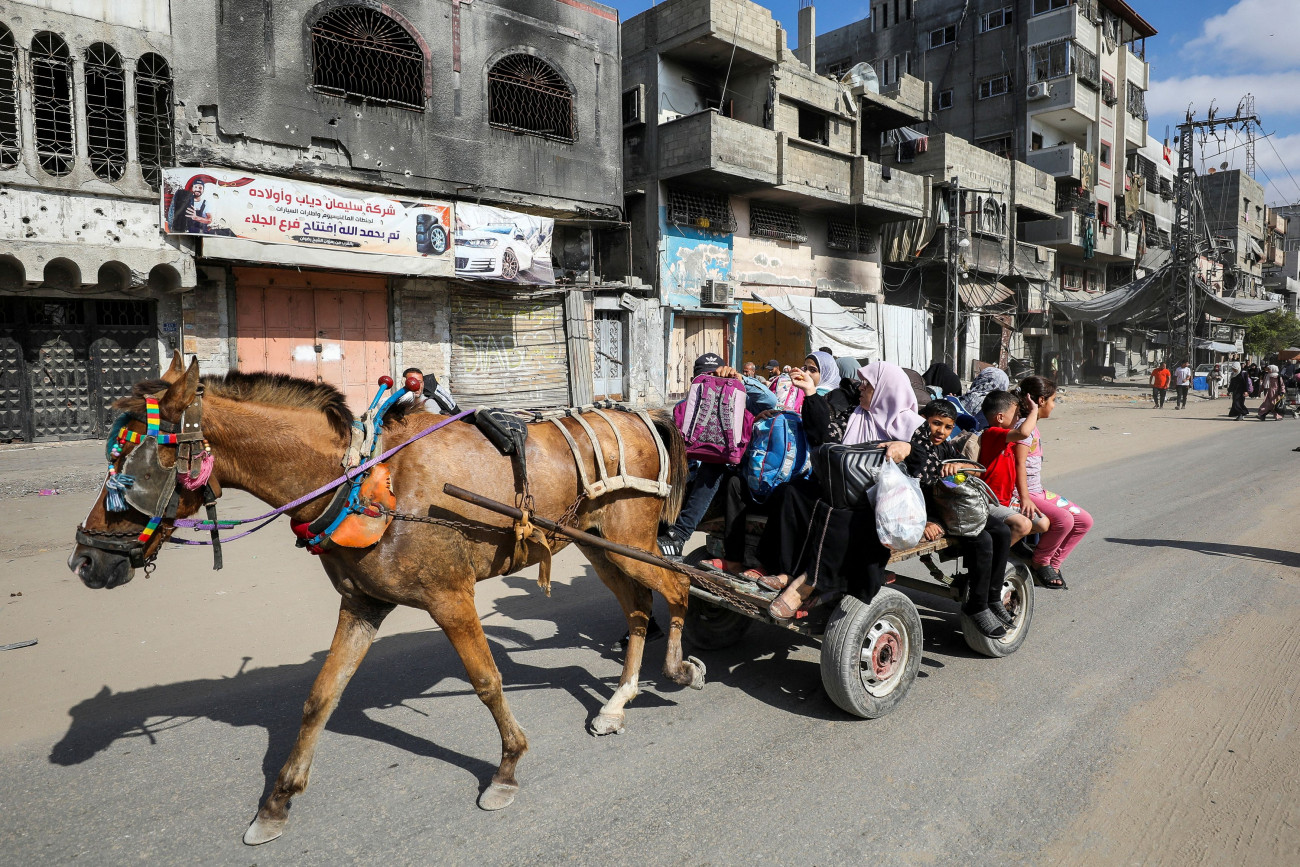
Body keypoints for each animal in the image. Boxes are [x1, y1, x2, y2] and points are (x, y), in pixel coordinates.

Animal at [68, 348, 702, 842]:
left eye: (127, 470)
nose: (86, 561)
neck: (361, 479)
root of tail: (644, 415)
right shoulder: (362, 604)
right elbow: (320, 697)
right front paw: (277, 803)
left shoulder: (452, 597)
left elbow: (487, 681)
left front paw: (507, 769)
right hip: (599, 545)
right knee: (638, 607)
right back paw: (618, 702)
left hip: (630, 540)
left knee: (678, 584)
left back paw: (677, 668)